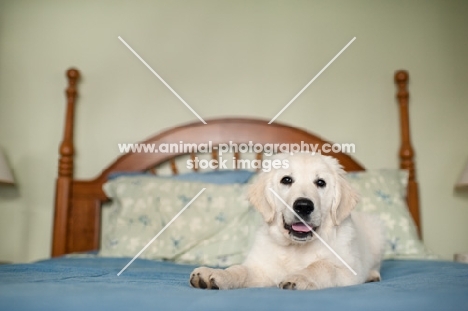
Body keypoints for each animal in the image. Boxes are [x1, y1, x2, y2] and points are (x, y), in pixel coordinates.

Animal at [190, 154, 384, 292]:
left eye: (321, 182)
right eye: (287, 180)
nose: (303, 206)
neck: (296, 248)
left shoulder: (348, 272)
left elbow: (322, 265)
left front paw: (300, 277)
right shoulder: (262, 269)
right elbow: (240, 270)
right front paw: (216, 273)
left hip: (376, 230)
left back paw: (372, 275)